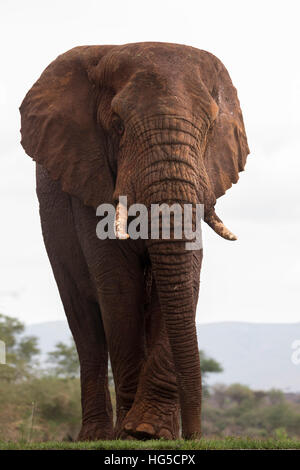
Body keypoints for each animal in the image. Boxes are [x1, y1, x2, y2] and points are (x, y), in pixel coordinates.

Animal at [18, 41, 248, 440]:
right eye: (119, 126)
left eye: (208, 127)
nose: (195, 435)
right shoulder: (88, 176)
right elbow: (118, 283)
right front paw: (133, 433)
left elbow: (185, 278)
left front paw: (150, 431)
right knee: (86, 325)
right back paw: (97, 435)